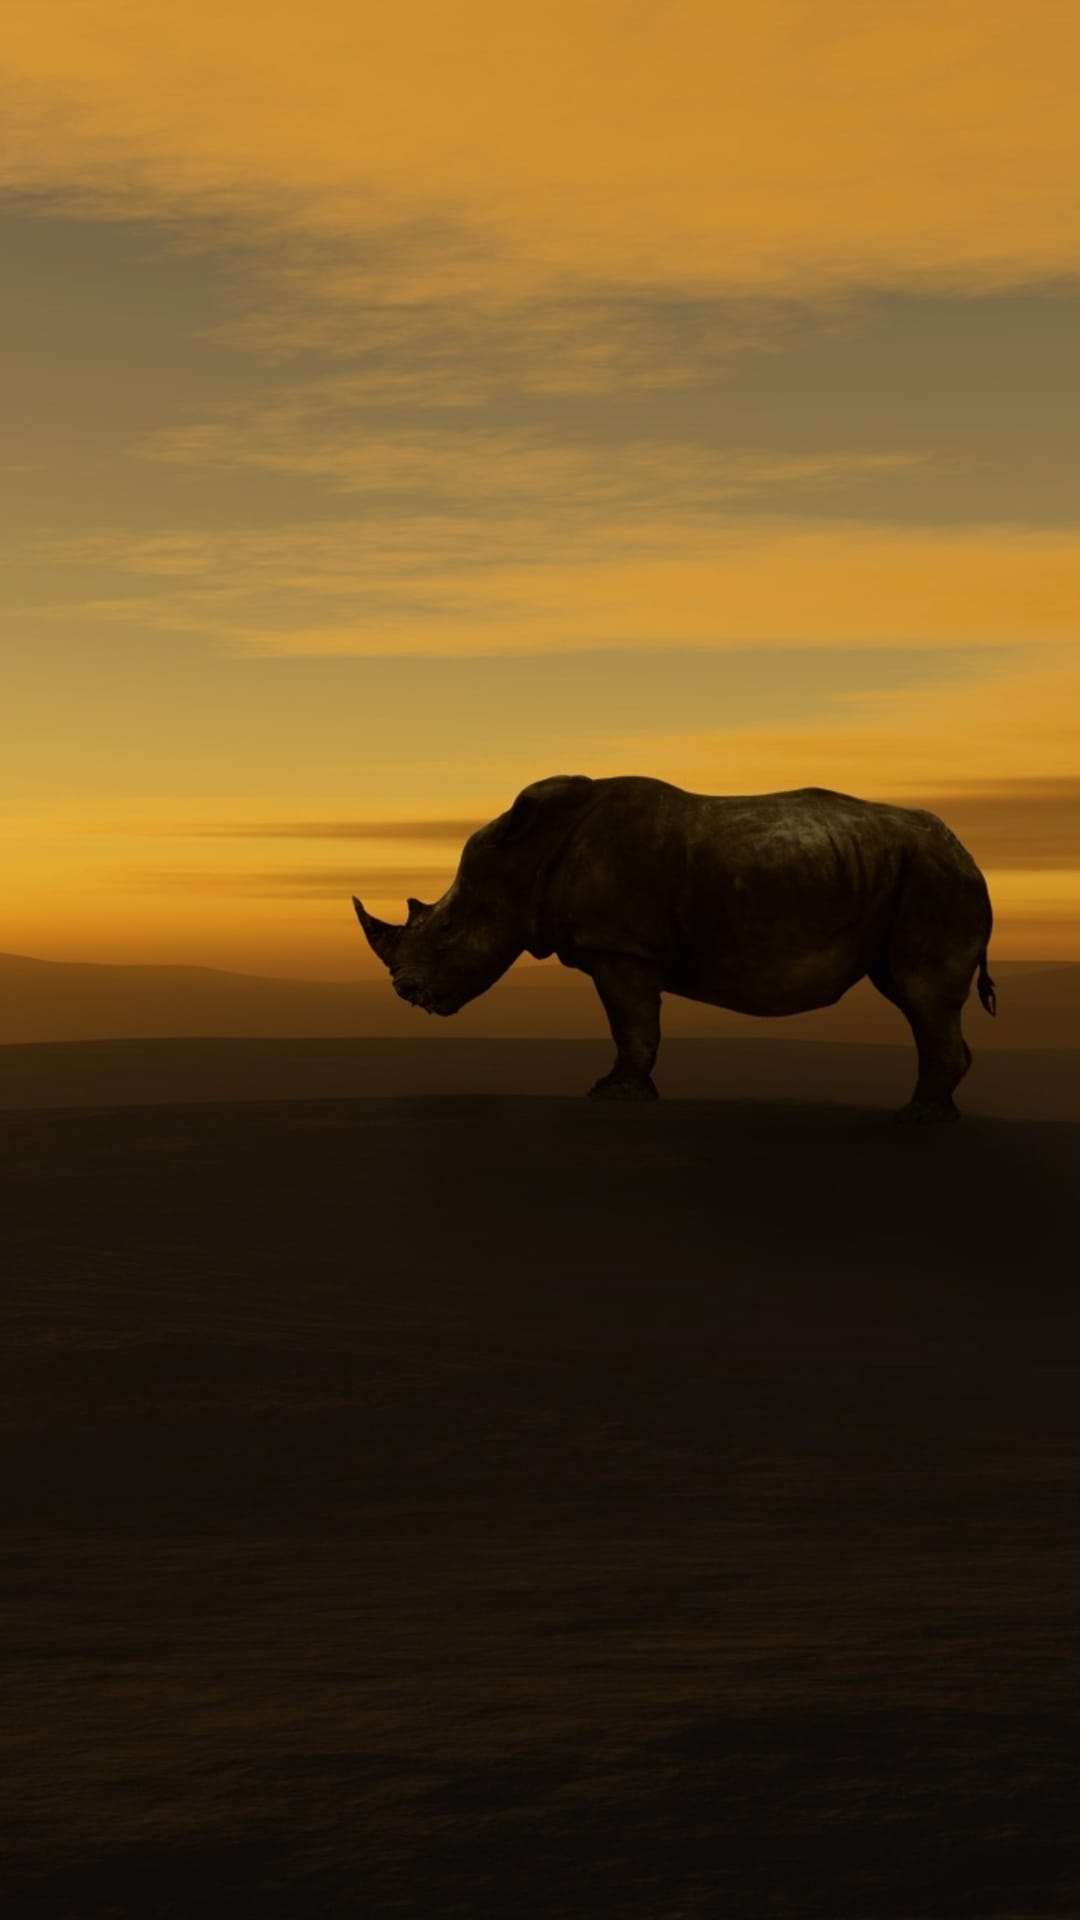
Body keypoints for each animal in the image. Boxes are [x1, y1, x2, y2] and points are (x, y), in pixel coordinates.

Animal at [353, 774, 996, 1123]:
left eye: (447, 930)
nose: (405, 991)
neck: (527, 856)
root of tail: (966, 850)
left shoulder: (620, 946)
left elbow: (632, 1023)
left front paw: (612, 1095)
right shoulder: (622, 945)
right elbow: (635, 1024)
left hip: (934, 878)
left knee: (921, 992)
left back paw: (916, 1120)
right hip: (914, 874)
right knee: (913, 995)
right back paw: (936, 1116)